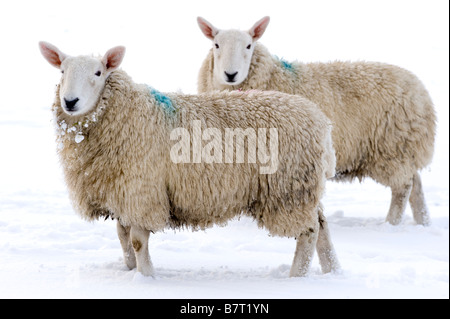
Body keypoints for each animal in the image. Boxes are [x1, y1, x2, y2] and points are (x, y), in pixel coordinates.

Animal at [39, 42, 342, 278]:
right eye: (62, 71)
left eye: (98, 72)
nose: (70, 101)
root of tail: (320, 121)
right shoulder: (120, 192)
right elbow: (123, 238)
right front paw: (130, 270)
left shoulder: (143, 191)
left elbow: (137, 242)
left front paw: (146, 277)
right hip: (302, 186)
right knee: (322, 224)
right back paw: (332, 270)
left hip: (288, 189)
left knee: (309, 232)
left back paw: (296, 277)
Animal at [197, 16, 436, 228]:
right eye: (216, 44)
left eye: (249, 45)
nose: (231, 74)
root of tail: (423, 93)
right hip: (405, 149)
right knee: (416, 184)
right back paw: (422, 222)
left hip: (392, 147)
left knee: (403, 187)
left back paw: (390, 224)